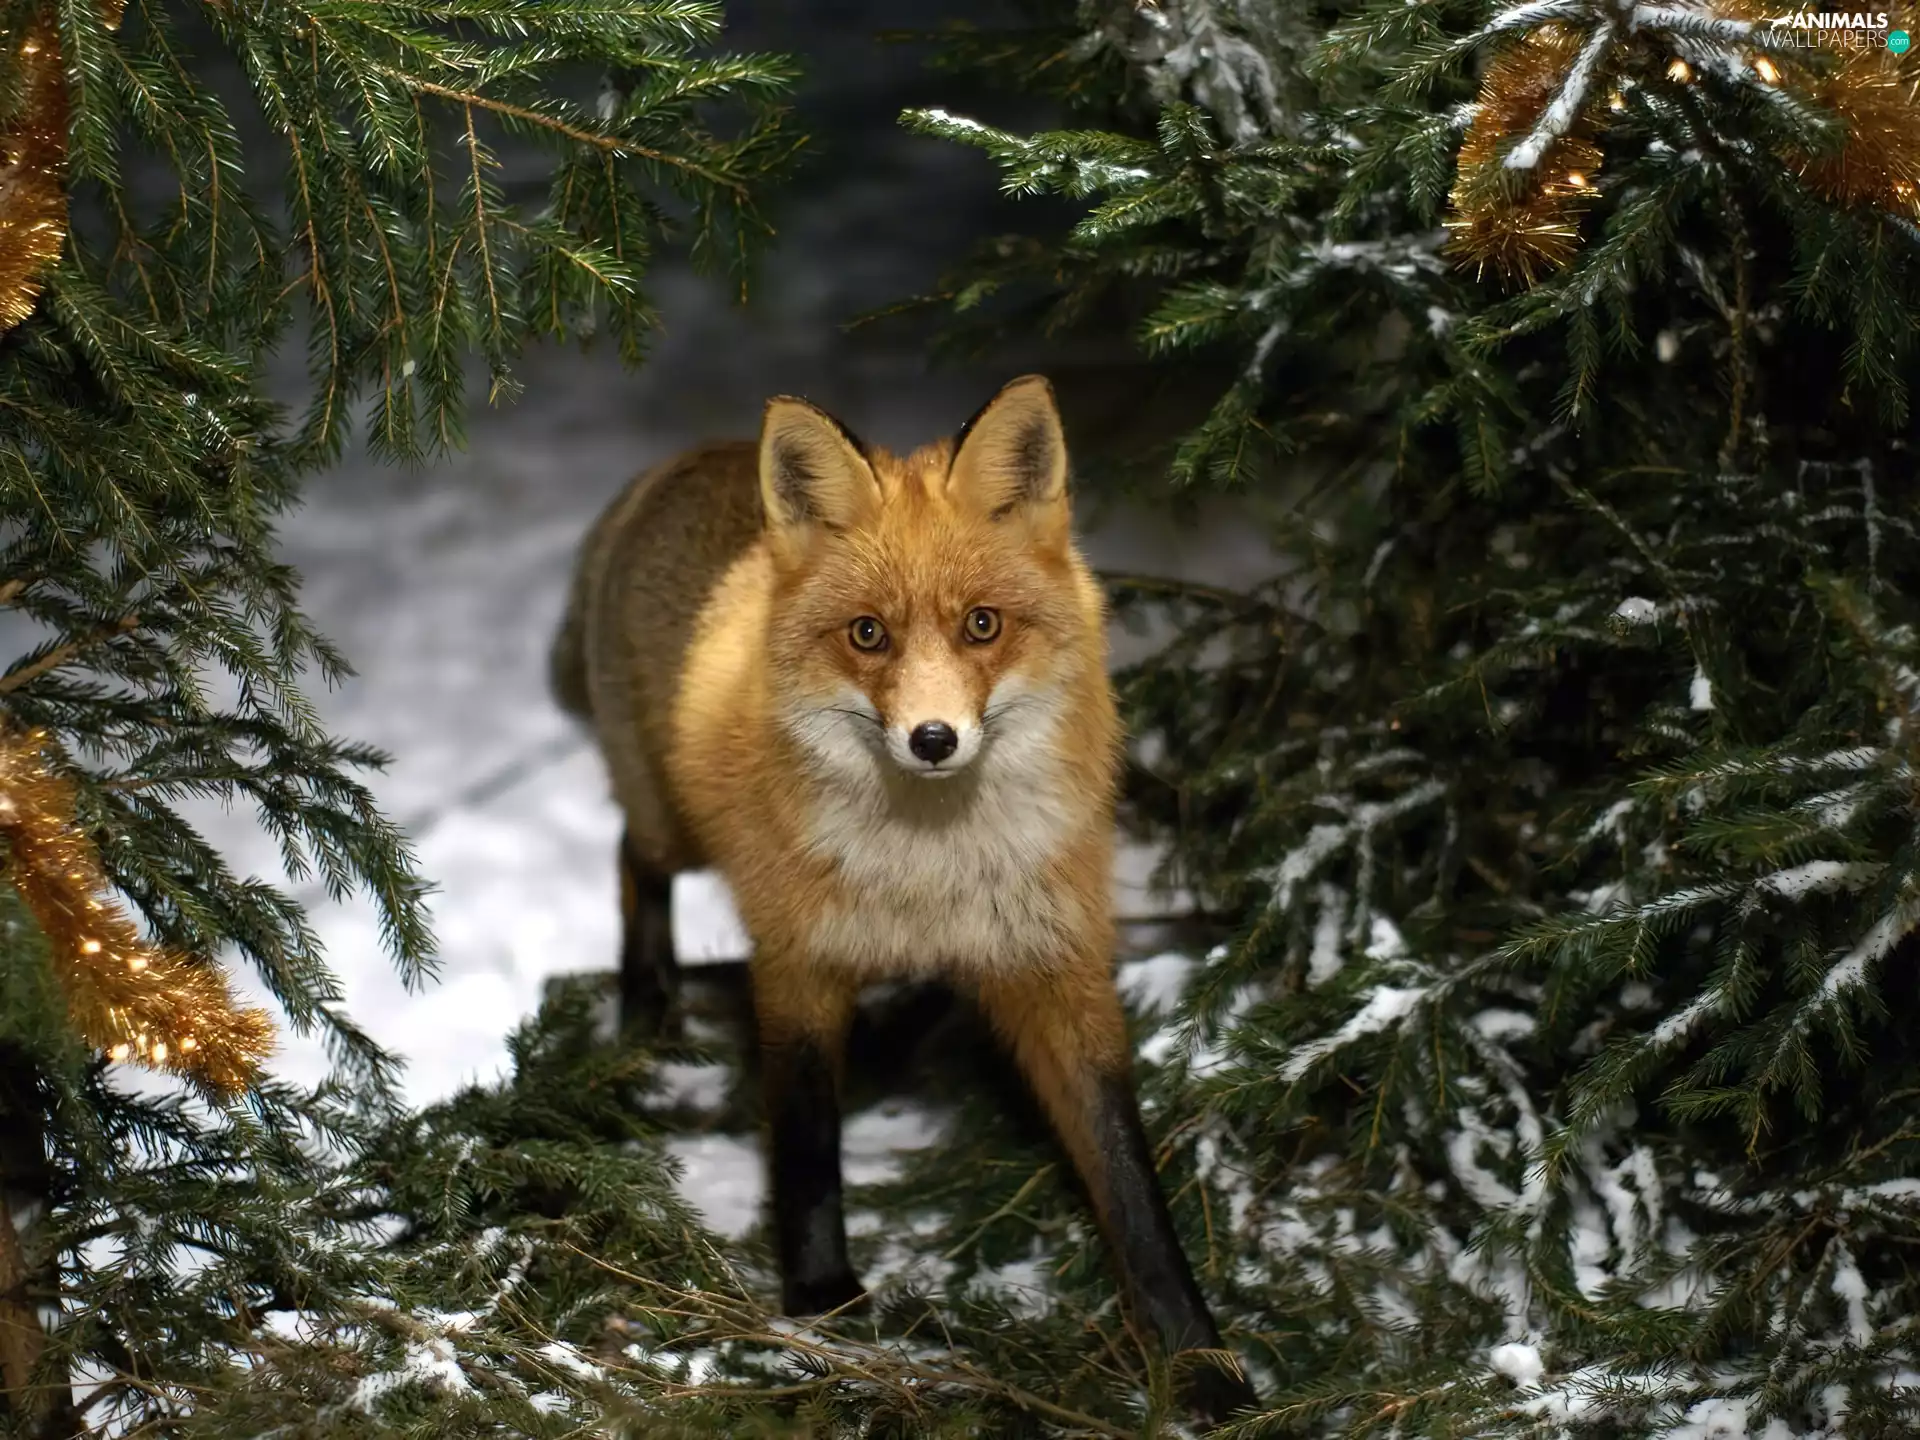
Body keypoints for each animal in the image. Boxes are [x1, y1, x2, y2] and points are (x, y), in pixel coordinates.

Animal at [549, 375, 1257, 1421]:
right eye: (868, 634)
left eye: (982, 625)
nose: (932, 739)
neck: (931, 872)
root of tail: (682, 461)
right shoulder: (798, 962)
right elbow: (808, 1147)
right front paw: (820, 1305)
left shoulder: (1056, 966)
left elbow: (1129, 1180)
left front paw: (1199, 1360)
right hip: (674, 820)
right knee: (635, 858)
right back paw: (646, 1014)